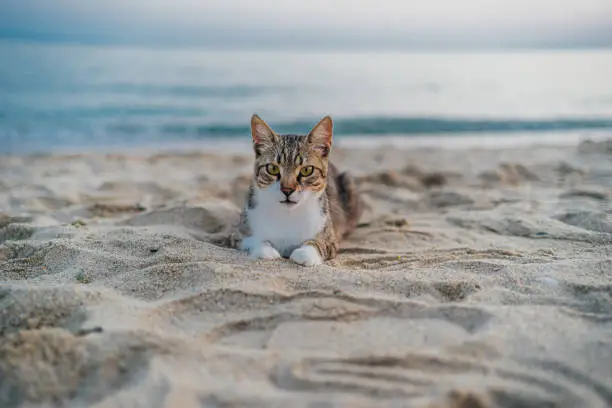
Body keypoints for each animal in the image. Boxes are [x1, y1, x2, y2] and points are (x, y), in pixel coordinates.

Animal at [232, 114, 360, 268]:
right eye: (272, 168)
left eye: (307, 170)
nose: (287, 190)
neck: (288, 214)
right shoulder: (238, 233)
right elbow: (252, 238)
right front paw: (265, 249)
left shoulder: (330, 236)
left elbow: (319, 243)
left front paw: (306, 253)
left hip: (348, 181)